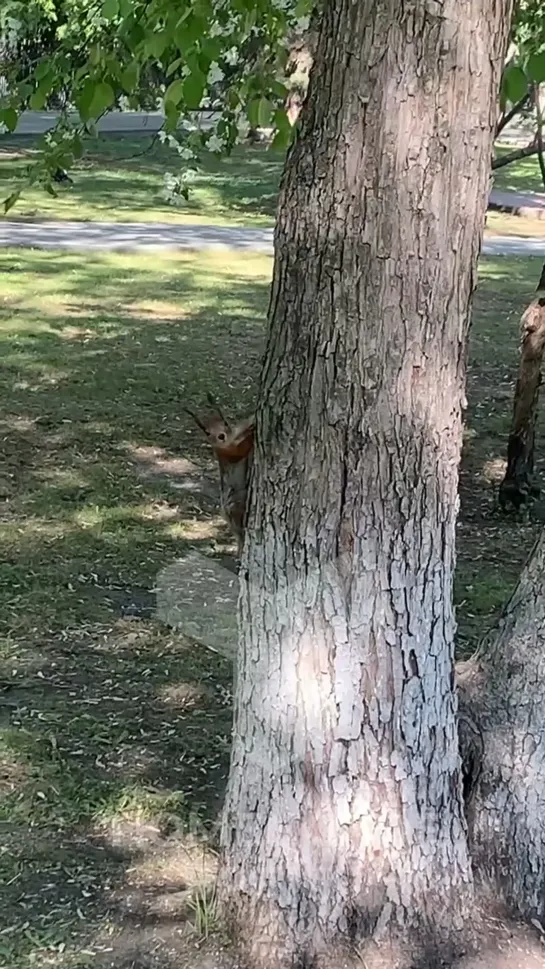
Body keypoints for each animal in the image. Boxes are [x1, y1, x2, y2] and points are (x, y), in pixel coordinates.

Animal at [185, 394, 255, 556]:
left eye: (225, 423)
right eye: (206, 432)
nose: (221, 436)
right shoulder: (229, 453)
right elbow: (241, 448)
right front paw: (252, 431)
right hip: (237, 501)